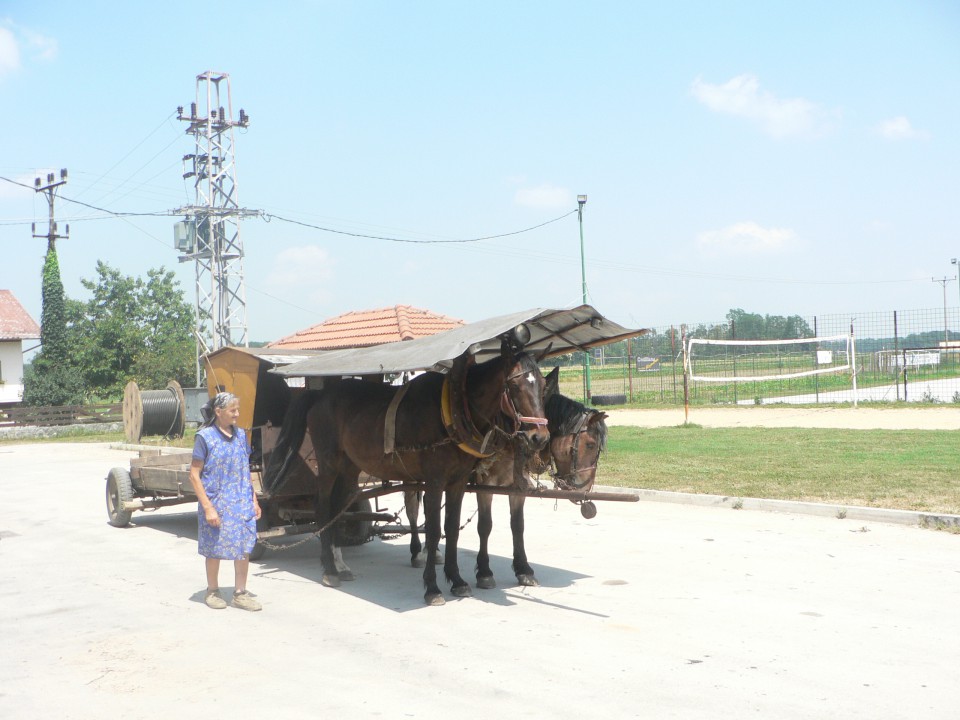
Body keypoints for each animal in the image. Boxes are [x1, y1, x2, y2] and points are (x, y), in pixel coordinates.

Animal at [264, 340, 548, 604]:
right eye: (515, 386)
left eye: (543, 385)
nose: (540, 437)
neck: (455, 409)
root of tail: (321, 394)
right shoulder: (434, 481)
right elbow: (433, 530)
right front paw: (432, 587)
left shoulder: (457, 482)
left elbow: (452, 529)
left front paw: (457, 580)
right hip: (328, 462)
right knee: (323, 508)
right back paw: (330, 570)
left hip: (349, 467)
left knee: (338, 508)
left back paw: (339, 564)